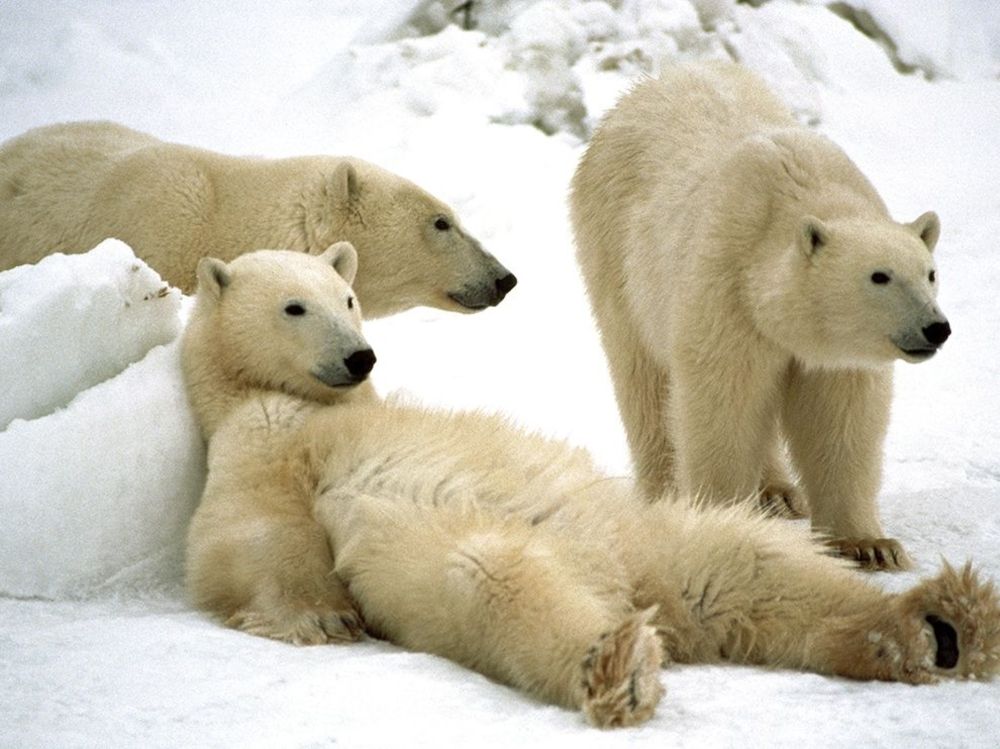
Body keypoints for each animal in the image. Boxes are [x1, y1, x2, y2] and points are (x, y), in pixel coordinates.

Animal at [182, 248, 999, 729]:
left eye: (346, 298)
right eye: (294, 305)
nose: (359, 356)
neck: (315, 404)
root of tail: (635, 590)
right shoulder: (258, 437)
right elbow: (243, 533)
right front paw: (321, 618)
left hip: (652, 532)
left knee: (752, 564)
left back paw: (941, 625)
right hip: (490, 553)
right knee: (498, 581)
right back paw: (619, 666)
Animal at [571, 61, 950, 571]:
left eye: (930, 273)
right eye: (879, 276)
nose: (936, 328)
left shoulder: (833, 354)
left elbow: (842, 419)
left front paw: (871, 545)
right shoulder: (727, 288)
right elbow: (723, 400)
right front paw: (720, 522)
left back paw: (779, 493)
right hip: (615, 252)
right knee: (642, 378)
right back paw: (666, 490)